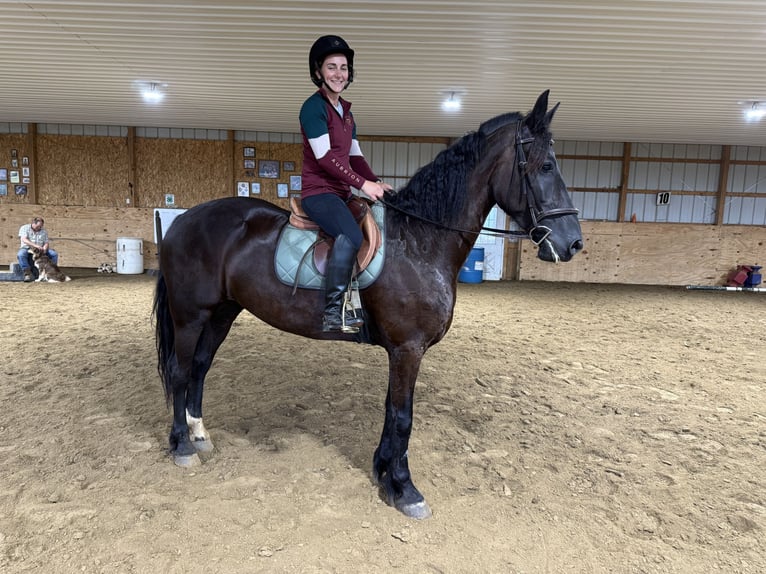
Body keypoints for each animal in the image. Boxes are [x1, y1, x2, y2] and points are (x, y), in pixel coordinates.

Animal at [153, 90, 583, 519]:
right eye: (546, 165)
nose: (572, 243)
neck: (418, 240)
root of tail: (182, 221)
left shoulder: (401, 351)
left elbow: (391, 410)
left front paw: (383, 472)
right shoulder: (408, 348)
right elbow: (404, 416)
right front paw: (406, 490)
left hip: (221, 313)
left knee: (200, 368)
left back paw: (200, 434)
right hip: (190, 316)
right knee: (179, 370)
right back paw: (183, 446)